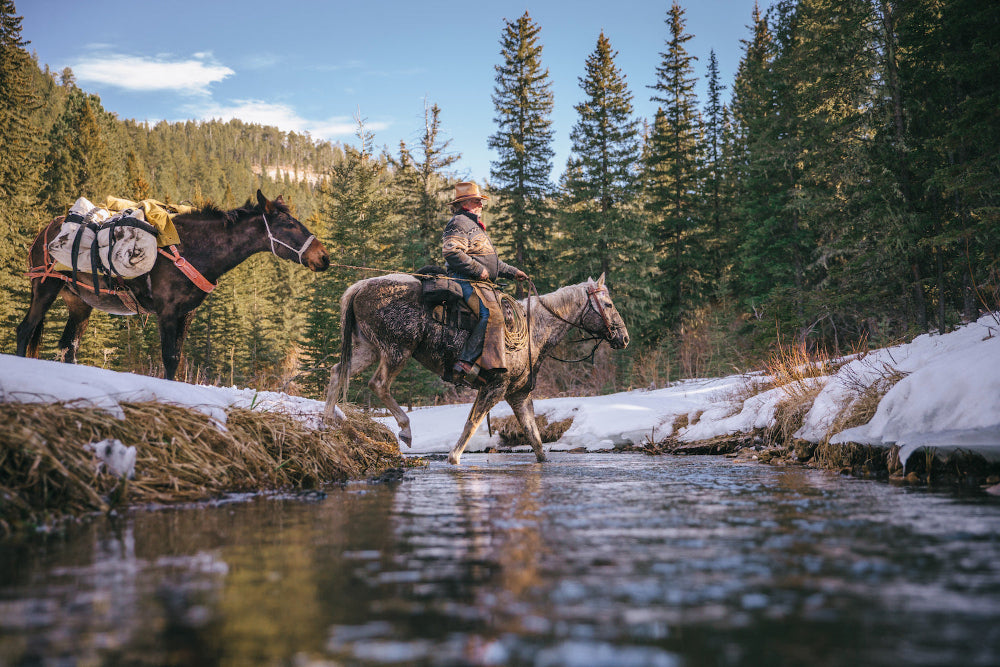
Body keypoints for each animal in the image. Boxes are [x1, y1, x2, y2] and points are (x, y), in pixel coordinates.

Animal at [15, 190, 330, 381]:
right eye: (288, 224)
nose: (323, 257)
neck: (196, 249)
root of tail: (43, 232)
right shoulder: (166, 311)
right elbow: (169, 357)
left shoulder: (187, 313)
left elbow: (176, 358)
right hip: (45, 287)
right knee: (25, 330)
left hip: (81, 303)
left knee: (69, 346)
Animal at [322, 272, 630, 465]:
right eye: (608, 303)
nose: (624, 338)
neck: (533, 332)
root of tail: (359, 287)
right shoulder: (495, 387)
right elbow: (471, 424)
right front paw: (453, 457)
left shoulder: (519, 395)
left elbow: (536, 441)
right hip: (397, 350)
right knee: (378, 384)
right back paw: (405, 429)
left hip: (369, 349)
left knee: (337, 372)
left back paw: (327, 422)